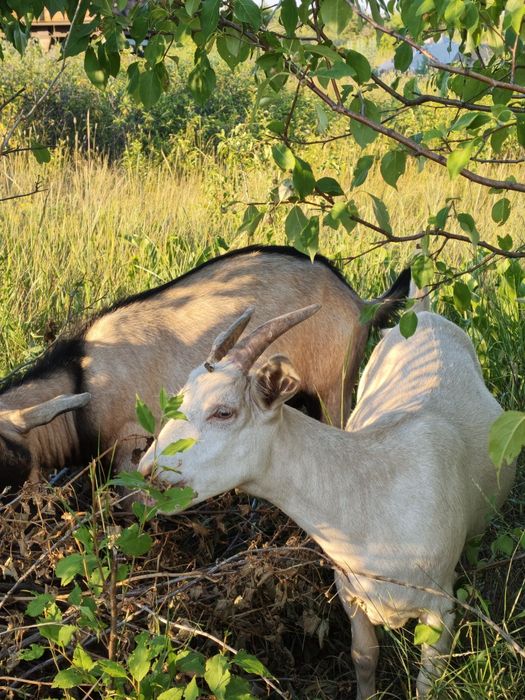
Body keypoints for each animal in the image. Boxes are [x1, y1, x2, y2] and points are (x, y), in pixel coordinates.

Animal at [139, 303, 515, 698]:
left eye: (223, 411)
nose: (148, 471)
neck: (372, 494)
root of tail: (424, 313)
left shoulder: (441, 607)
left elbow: (429, 683)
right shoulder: (350, 594)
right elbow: (364, 656)